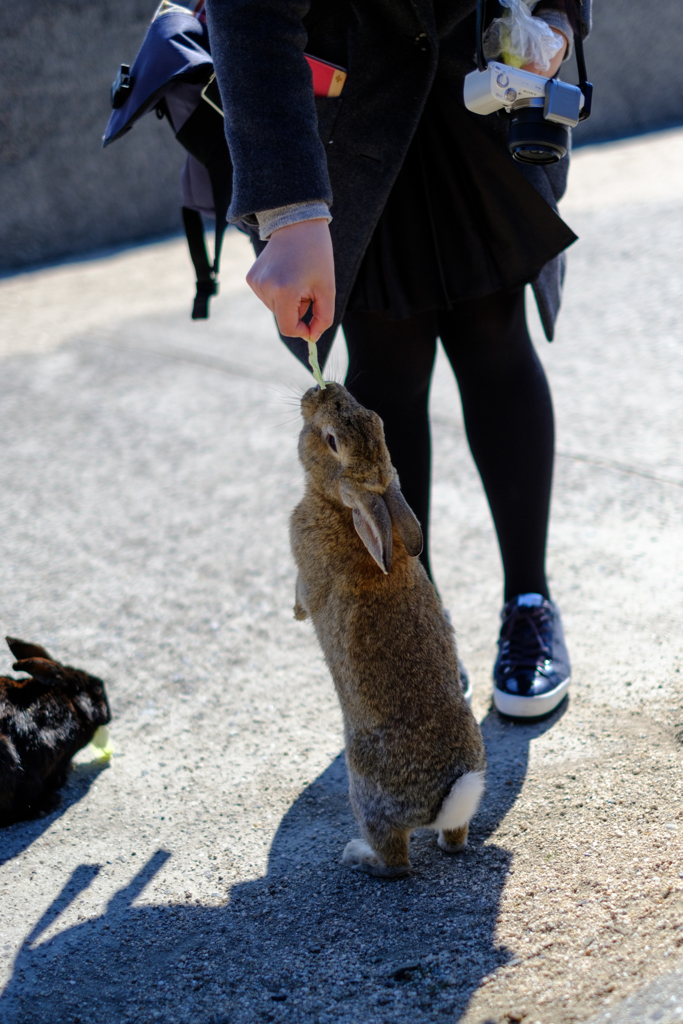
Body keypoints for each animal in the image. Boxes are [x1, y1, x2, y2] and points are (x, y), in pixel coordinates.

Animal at [290, 385, 485, 880]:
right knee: (455, 838)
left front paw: (296, 613)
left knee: (396, 860)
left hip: (367, 794)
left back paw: (360, 857)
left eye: (331, 441)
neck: (341, 506)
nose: (321, 389)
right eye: (376, 419)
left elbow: (303, 590)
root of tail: (441, 799)